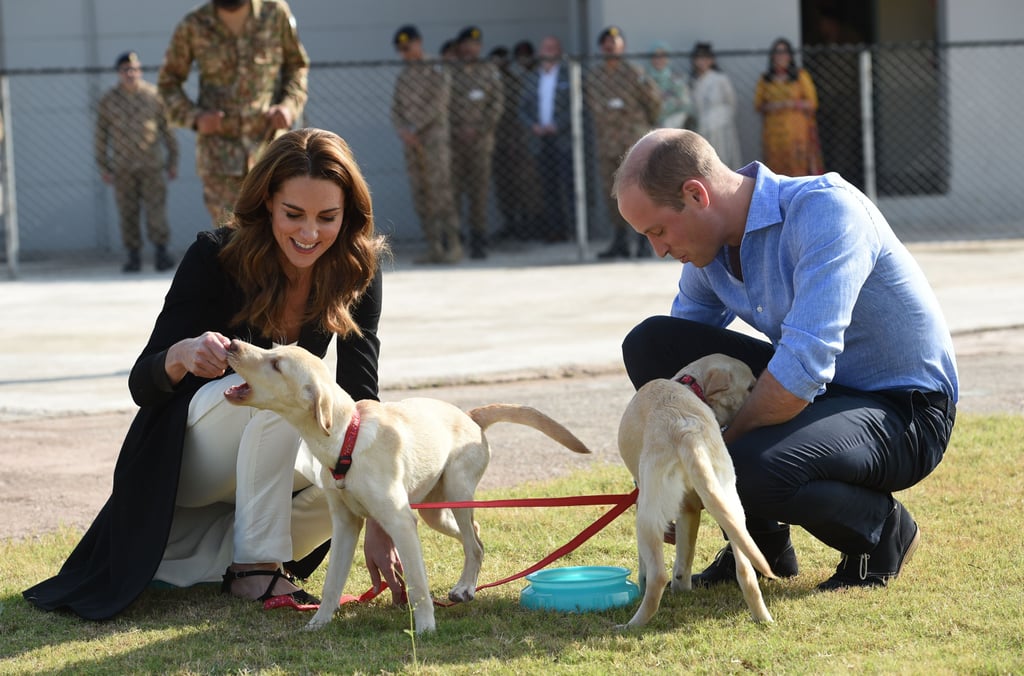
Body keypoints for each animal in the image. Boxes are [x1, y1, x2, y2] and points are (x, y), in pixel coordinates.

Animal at [224, 344, 593, 635]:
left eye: (276, 364)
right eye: (272, 351)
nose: (231, 345)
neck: (347, 441)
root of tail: (470, 416)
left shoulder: (401, 522)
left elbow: (417, 584)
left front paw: (426, 627)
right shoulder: (345, 525)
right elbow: (332, 584)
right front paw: (319, 622)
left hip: (456, 492)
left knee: (473, 543)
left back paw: (463, 589)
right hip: (436, 513)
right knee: (476, 536)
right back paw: (466, 585)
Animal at [614, 356, 774, 626]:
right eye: (750, 386)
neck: (691, 385)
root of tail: (686, 431)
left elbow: (646, 566)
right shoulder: (688, 510)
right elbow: (683, 559)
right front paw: (682, 589)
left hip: (647, 516)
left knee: (657, 576)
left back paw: (631, 625)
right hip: (730, 506)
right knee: (746, 571)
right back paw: (764, 618)